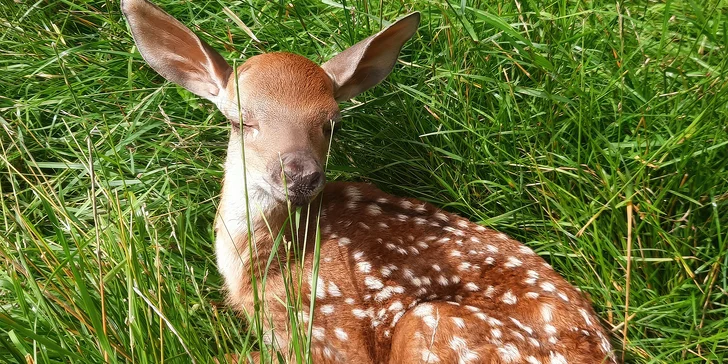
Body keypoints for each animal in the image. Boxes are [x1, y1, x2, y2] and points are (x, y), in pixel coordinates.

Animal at [122, 0, 616, 362]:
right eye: (239, 121)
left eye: (332, 123)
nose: (300, 175)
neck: (261, 266)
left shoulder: (328, 333)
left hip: (433, 328)